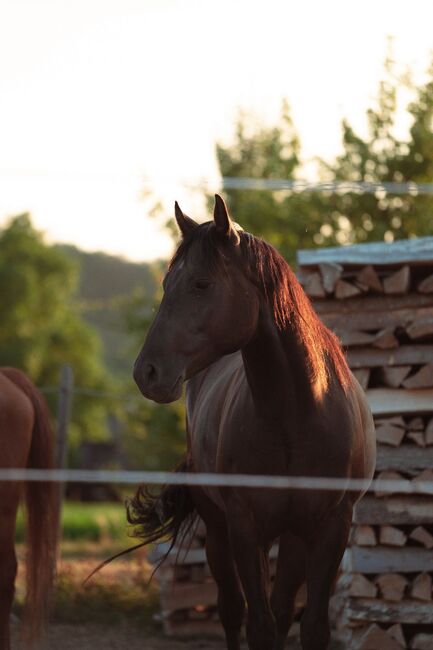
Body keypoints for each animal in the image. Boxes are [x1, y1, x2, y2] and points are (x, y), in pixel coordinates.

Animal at [129, 196, 374, 648]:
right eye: (166, 284)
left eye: (201, 284)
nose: (146, 372)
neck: (297, 414)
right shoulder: (244, 527)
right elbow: (258, 625)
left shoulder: (331, 528)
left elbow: (311, 625)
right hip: (218, 527)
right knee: (231, 609)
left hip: (293, 537)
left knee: (281, 608)